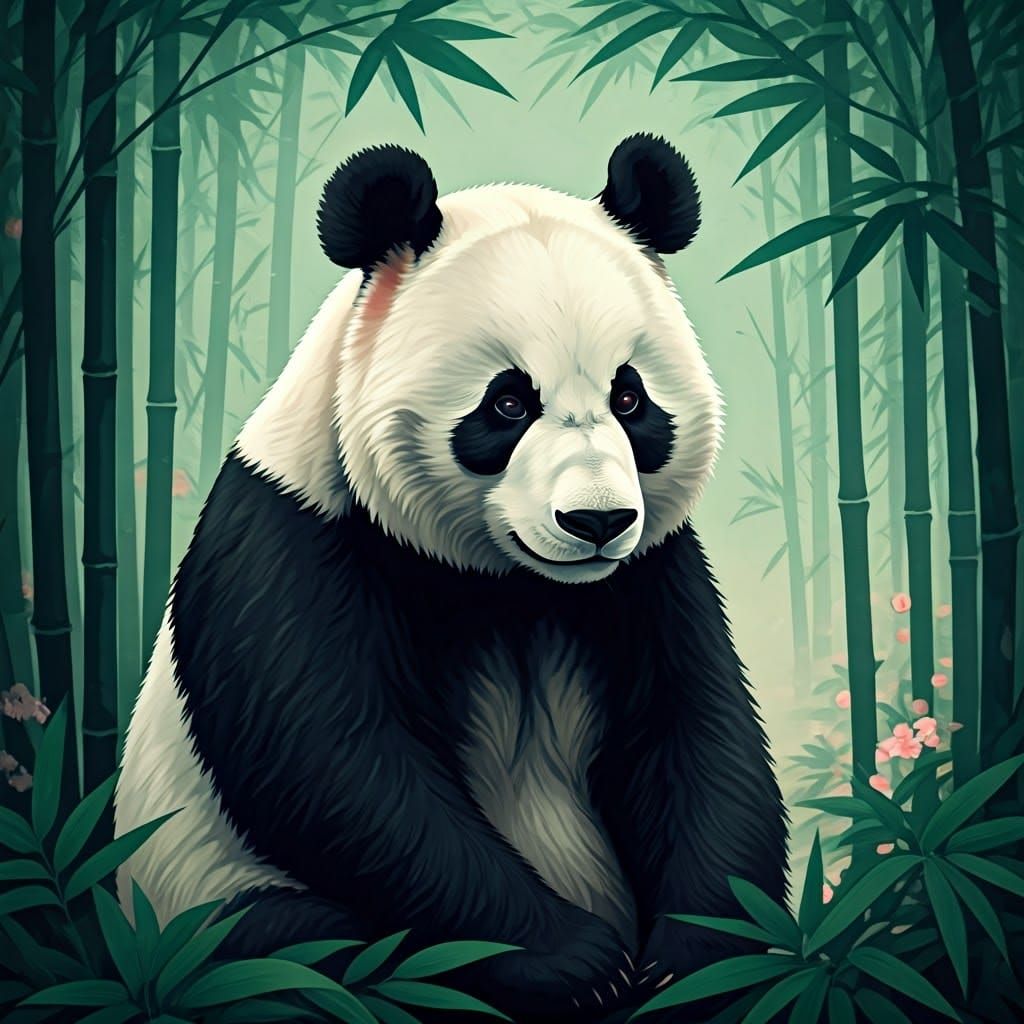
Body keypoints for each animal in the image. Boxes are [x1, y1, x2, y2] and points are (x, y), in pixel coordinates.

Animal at [115, 134, 787, 1024]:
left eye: (630, 397)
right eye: (507, 404)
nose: (597, 521)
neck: (509, 583)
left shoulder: (651, 574)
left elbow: (695, 739)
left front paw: (693, 966)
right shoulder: (295, 541)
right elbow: (342, 766)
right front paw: (575, 961)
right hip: (193, 895)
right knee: (293, 954)